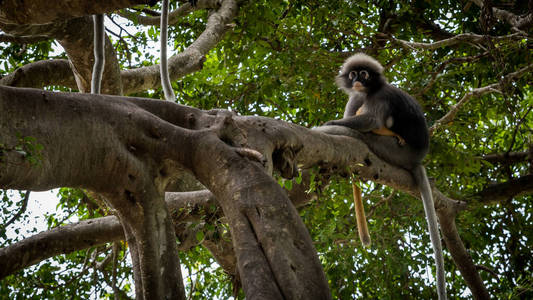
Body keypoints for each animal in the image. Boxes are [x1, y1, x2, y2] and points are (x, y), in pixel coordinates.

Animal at [324, 53, 444, 300]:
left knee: (364, 132)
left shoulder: (381, 96)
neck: (368, 91)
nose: (357, 80)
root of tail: (417, 157)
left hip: (395, 150)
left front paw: (328, 123)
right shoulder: (357, 96)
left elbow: (371, 120)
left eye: (364, 74)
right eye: (353, 74)